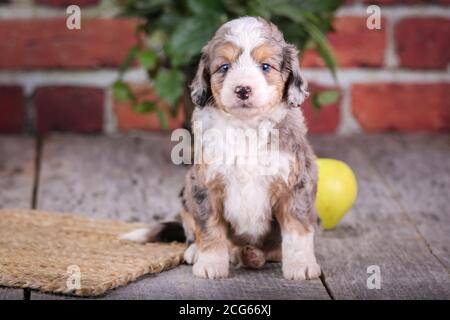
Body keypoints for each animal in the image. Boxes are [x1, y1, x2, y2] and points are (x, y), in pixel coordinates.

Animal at [121, 16, 322, 280]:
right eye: (224, 67)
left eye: (265, 67)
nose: (243, 89)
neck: (246, 127)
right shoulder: (205, 184)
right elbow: (210, 229)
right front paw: (210, 264)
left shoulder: (296, 181)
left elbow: (297, 228)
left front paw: (301, 265)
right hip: (185, 195)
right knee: (194, 230)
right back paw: (204, 252)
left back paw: (252, 254)